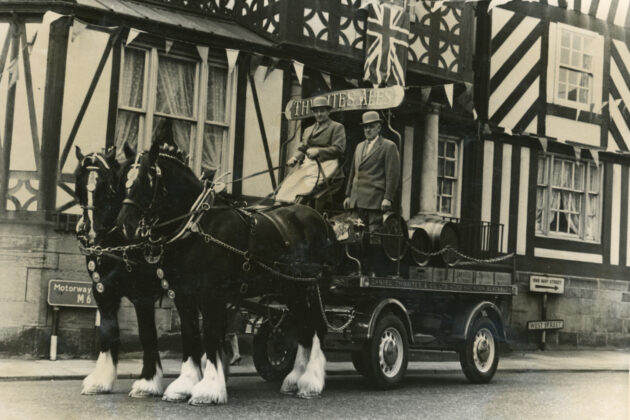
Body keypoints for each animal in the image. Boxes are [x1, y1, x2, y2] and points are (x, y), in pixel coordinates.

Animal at [74, 147, 165, 398]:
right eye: (79, 184)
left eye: (106, 185)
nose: (89, 232)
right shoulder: (102, 289)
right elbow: (108, 330)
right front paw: (101, 380)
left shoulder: (143, 295)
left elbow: (147, 334)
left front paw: (148, 382)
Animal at [115, 143, 338, 406]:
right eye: (123, 180)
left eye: (147, 180)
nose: (123, 226)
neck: (198, 226)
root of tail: (320, 218)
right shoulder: (182, 294)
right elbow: (190, 336)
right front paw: (184, 385)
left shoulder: (212, 295)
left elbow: (211, 336)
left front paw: (209, 389)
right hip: (291, 289)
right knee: (303, 327)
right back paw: (294, 380)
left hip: (311, 287)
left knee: (315, 328)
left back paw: (311, 382)